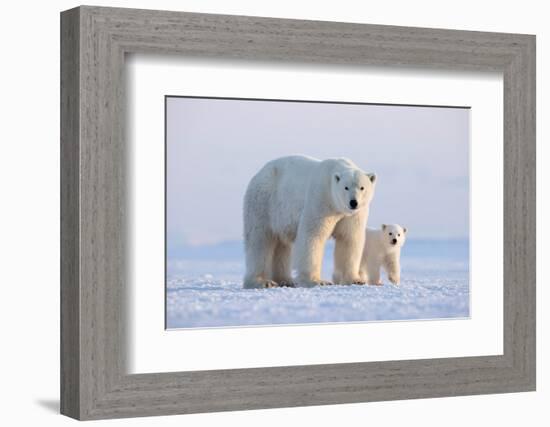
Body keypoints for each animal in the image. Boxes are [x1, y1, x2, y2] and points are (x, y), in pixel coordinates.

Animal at [244, 155, 378, 290]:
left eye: (362, 187)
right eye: (346, 187)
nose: (353, 202)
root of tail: (258, 174)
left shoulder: (352, 215)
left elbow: (349, 239)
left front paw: (356, 280)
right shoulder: (321, 200)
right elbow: (313, 236)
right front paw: (317, 281)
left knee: (281, 245)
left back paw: (285, 280)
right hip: (264, 203)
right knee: (259, 241)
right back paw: (262, 281)